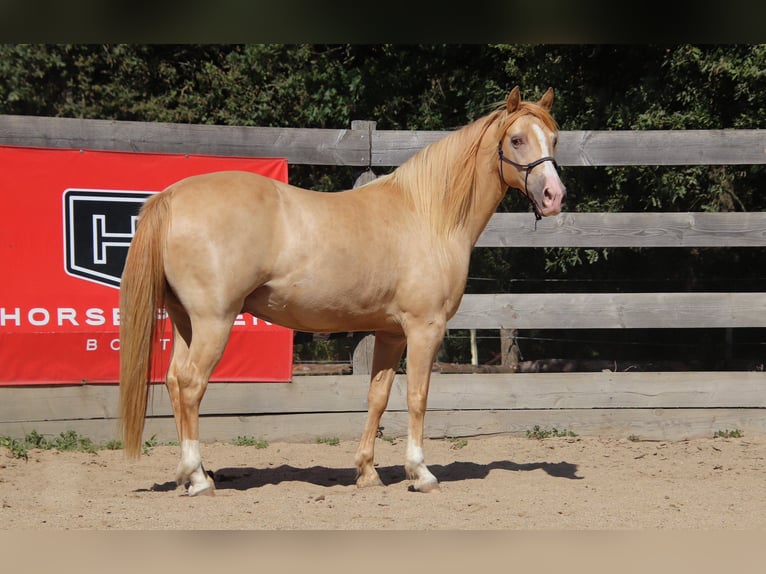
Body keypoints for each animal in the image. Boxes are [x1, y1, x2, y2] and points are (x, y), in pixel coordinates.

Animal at [119, 86, 566, 496]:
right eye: (516, 139)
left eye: (554, 138)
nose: (554, 196)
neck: (428, 215)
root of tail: (172, 196)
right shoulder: (425, 327)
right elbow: (417, 395)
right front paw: (420, 473)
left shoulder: (390, 333)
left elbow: (378, 396)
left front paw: (367, 472)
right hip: (214, 320)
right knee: (192, 384)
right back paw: (197, 479)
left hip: (186, 322)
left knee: (175, 381)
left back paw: (192, 474)